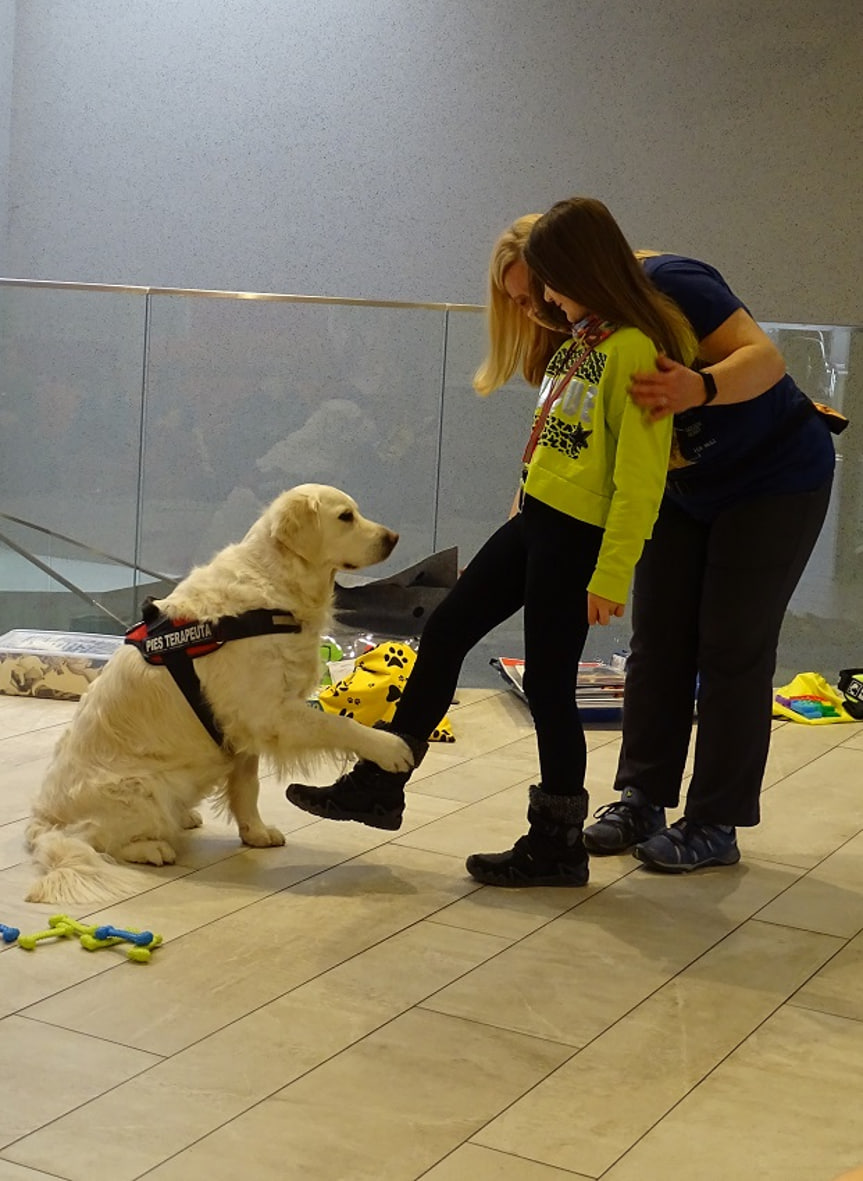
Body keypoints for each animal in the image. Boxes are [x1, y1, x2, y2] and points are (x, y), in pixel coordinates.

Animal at [25, 481, 417, 902]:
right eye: (346, 516)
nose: (394, 538)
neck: (274, 585)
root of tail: (42, 822)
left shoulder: (241, 730)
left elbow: (247, 787)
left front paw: (255, 833)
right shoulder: (271, 713)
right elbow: (339, 726)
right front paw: (390, 748)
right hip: (143, 787)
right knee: (93, 839)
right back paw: (152, 847)